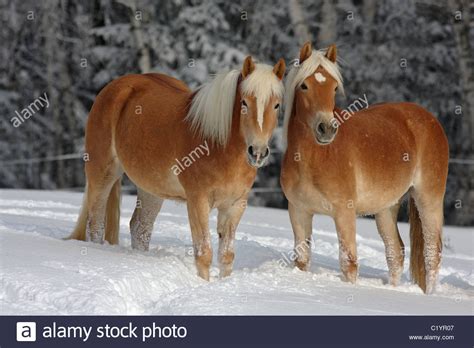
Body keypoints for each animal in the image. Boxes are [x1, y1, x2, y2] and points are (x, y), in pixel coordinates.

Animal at [67, 57, 286, 280]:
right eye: (244, 102)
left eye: (277, 105)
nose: (257, 152)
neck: (217, 144)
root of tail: (115, 87)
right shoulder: (198, 201)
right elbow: (204, 253)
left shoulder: (235, 205)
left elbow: (226, 256)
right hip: (102, 173)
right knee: (95, 224)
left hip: (151, 189)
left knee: (140, 228)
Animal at [282, 42, 448, 294]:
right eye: (304, 85)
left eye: (334, 88)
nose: (326, 129)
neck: (314, 158)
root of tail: (431, 119)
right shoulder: (299, 211)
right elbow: (301, 260)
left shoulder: (344, 212)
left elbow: (349, 263)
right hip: (386, 208)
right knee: (395, 253)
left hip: (428, 199)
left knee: (432, 254)